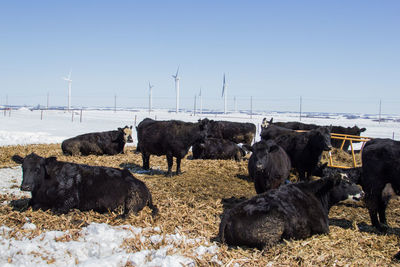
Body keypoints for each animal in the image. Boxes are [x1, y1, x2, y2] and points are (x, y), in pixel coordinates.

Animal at [10, 153, 158, 218]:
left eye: (38, 169)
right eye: (23, 168)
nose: (25, 186)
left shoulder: (69, 200)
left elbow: (55, 210)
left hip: (132, 201)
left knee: (129, 214)